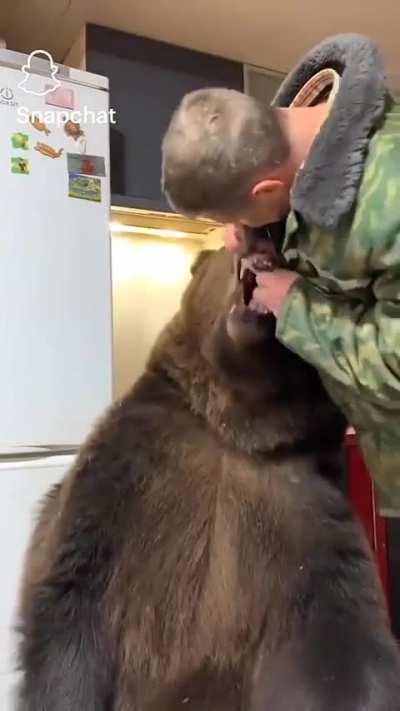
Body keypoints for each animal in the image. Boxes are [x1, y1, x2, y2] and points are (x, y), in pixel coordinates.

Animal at [17, 244, 400, 710]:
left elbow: (341, 652)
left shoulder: (307, 512)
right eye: (227, 246)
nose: (261, 247)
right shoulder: (128, 473)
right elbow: (73, 603)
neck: (235, 427)